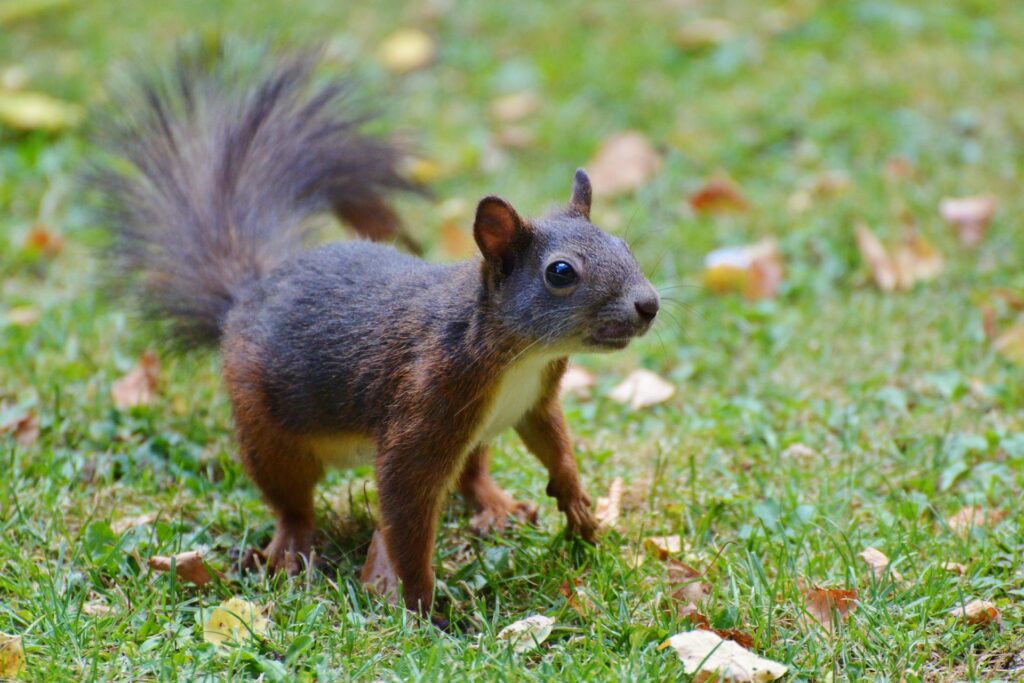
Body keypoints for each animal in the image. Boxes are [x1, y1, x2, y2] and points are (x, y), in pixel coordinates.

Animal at [92, 48, 659, 618]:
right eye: (561, 273)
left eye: (625, 246)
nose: (649, 305)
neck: (521, 355)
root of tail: (244, 297)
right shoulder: (427, 400)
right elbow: (406, 507)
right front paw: (424, 606)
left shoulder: (535, 399)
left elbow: (553, 442)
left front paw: (578, 504)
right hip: (265, 425)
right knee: (290, 498)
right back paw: (291, 547)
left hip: (472, 436)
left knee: (472, 472)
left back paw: (495, 506)